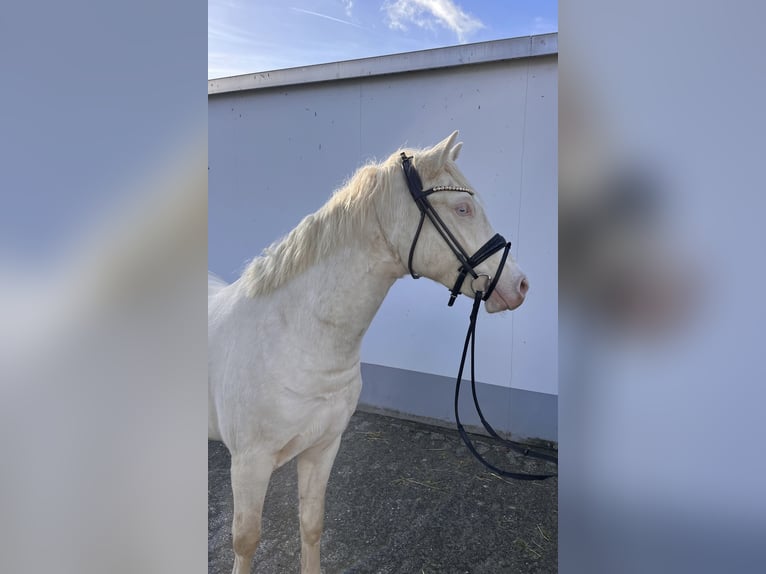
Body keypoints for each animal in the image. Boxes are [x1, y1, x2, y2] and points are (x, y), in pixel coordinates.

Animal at [207, 132, 532, 574]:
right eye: (462, 208)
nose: (520, 285)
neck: (292, 340)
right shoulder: (249, 464)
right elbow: (246, 541)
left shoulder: (323, 447)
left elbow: (311, 524)